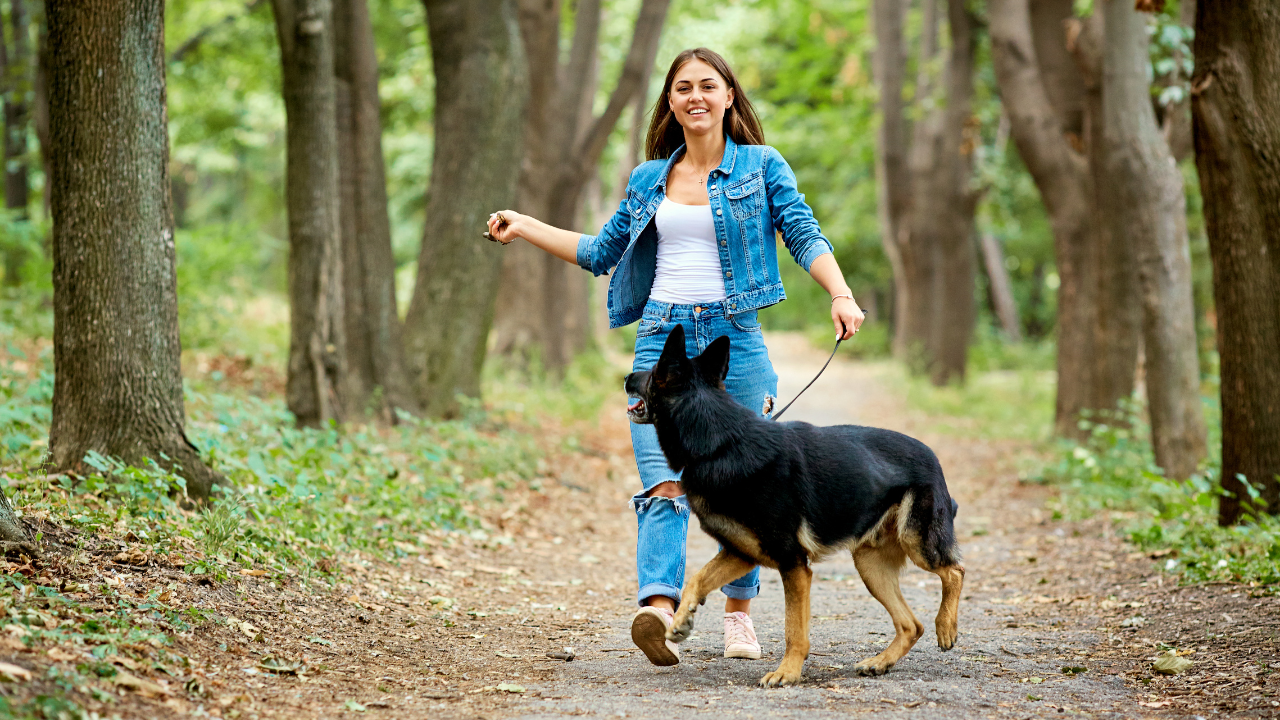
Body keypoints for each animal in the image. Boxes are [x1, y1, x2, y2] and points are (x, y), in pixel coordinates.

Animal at [624, 325, 962, 681]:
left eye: (653, 371)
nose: (626, 377)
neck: (720, 443)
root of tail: (931, 456)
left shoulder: (793, 564)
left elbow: (793, 629)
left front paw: (787, 672)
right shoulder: (743, 553)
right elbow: (697, 578)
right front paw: (680, 620)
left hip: (917, 542)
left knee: (954, 571)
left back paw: (946, 627)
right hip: (871, 566)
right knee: (911, 624)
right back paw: (881, 661)